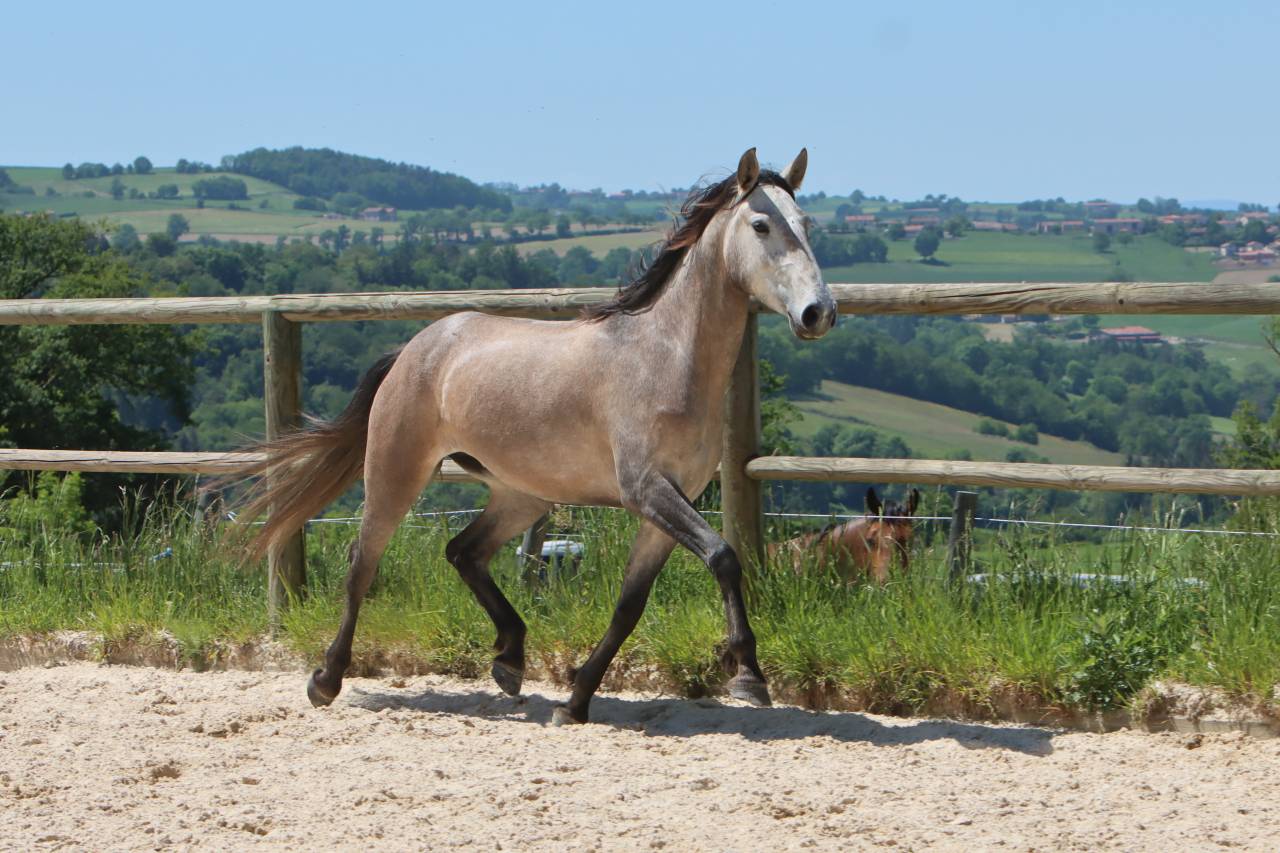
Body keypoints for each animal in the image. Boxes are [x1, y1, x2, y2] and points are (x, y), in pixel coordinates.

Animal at [233, 148, 836, 725]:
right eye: (761, 224)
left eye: (807, 224)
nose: (819, 313)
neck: (665, 356)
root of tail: (414, 349)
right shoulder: (645, 488)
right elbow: (723, 557)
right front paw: (749, 676)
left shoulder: (666, 504)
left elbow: (630, 604)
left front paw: (575, 702)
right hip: (395, 469)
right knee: (364, 560)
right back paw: (327, 679)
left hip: (521, 495)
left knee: (463, 551)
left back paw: (510, 658)